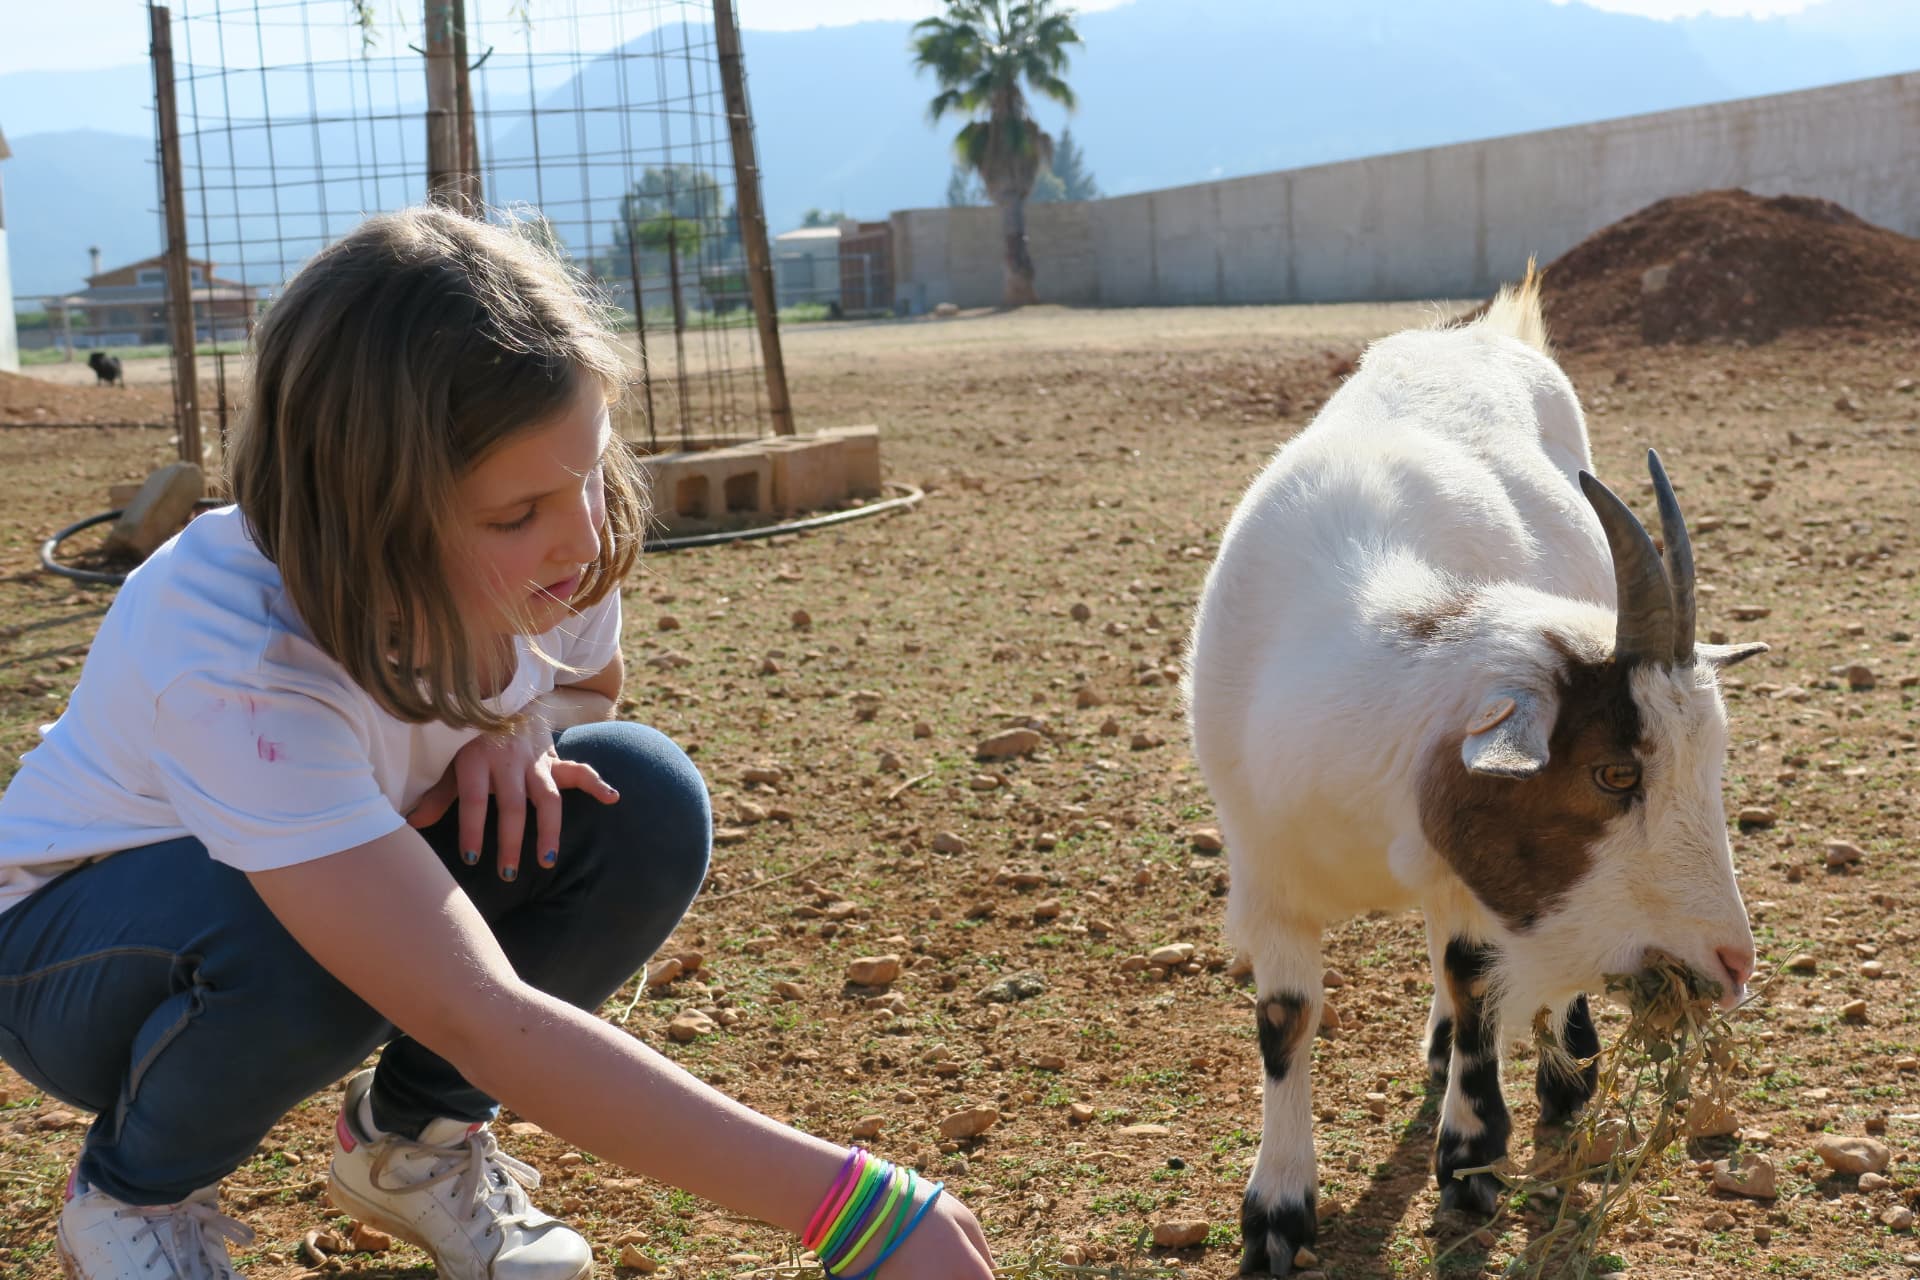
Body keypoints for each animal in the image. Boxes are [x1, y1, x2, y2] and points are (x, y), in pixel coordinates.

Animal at [1182, 273, 1764, 1276]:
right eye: (1614, 774)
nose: (1731, 963)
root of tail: (1495, 329)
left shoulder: (1473, 879)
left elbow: (1474, 976)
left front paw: (1469, 1157)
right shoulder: (1266, 875)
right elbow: (1287, 1019)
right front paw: (1276, 1213)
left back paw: (1555, 1071)